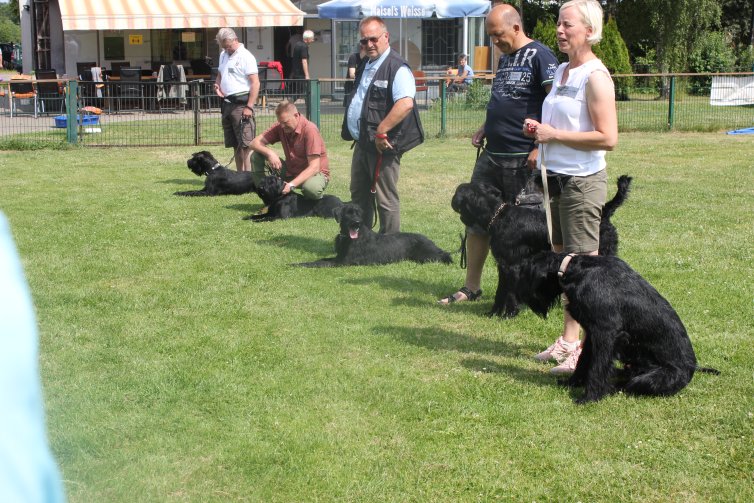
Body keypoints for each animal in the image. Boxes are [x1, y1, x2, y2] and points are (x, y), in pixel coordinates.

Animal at [298, 204, 452, 270]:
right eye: (348, 213)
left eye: (358, 213)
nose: (357, 223)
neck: (348, 237)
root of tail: (429, 241)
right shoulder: (339, 257)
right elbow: (322, 259)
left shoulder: (343, 262)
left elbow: (320, 263)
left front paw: (299, 265)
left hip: (428, 256)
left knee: (444, 254)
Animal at [450, 176, 632, 318]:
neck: (498, 216)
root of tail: (604, 214)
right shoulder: (502, 265)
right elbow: (500, 291)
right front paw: (493, 313)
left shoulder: (513, 266)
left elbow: (510, 292)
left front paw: (509, 314)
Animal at [516, 252, 716, 406]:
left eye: (525, 275)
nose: (519, 298)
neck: (574, 270)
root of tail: (693, 368)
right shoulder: (592, 335)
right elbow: (583, 361)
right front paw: (572, 383)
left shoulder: (606, 334)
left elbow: (597, 367)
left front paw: (590, 397)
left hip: (652, 378)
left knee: (630, 385)